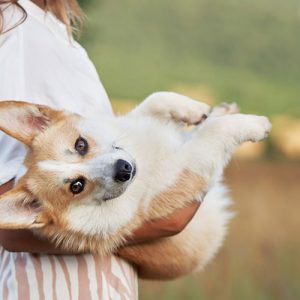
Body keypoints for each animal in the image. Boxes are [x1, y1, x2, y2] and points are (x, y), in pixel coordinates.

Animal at [0, 93, 270, 278]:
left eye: (81, 145)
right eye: (77, 186)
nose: (124, 169)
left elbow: (156, 100)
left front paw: (196, 110)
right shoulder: (184, 171)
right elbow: (212, 134)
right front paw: (256, 124)